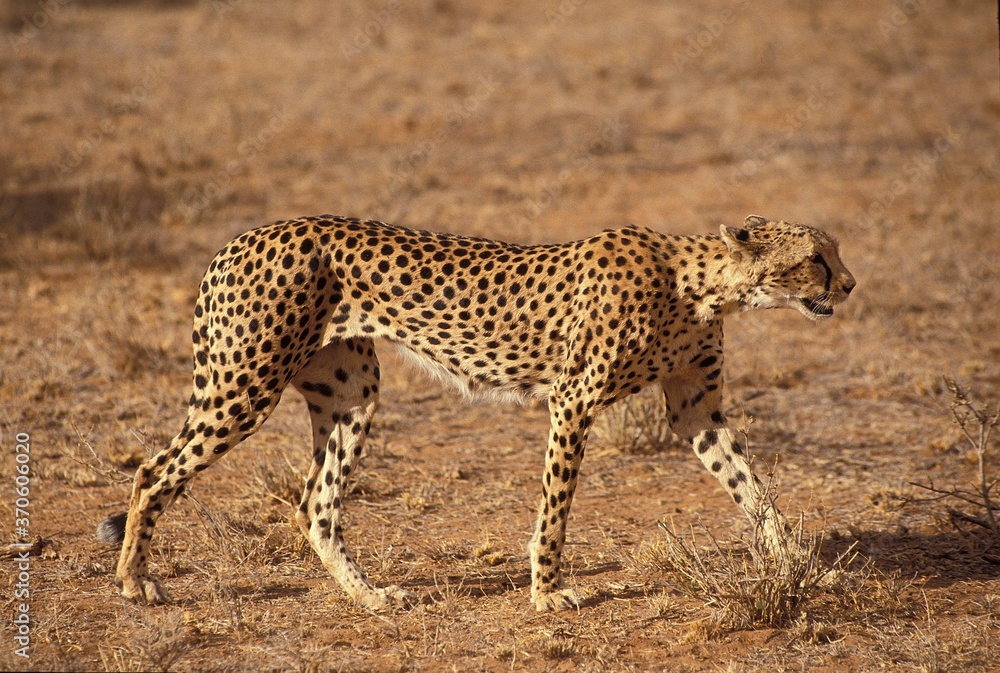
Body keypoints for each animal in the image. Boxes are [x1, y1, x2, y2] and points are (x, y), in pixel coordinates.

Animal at [97, 213, 855, 612]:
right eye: (816, 258)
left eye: (834, 252)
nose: (850, 284)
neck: (697, 284)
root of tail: (243, 237)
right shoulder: (573, 399)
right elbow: (555, 510)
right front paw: (547, 593)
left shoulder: (698, 411)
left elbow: (757, 493)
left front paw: (804, 567)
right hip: (243, 385)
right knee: (153, 469)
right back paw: (133, 578)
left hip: (350, 390)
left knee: (314, 501)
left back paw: (371, 597)